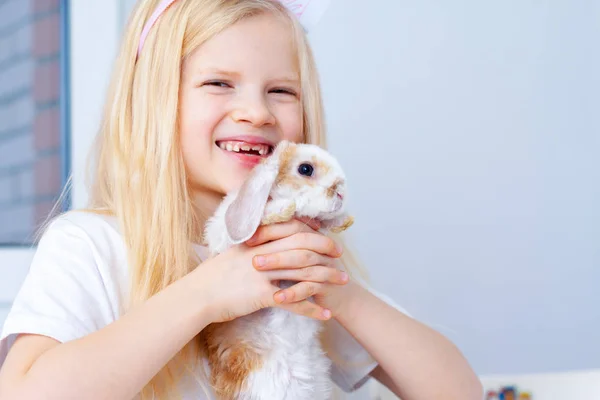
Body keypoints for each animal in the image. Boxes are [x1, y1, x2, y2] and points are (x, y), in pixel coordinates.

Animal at [203, 139, 352, 398]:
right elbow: (267, 213)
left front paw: (342, 220)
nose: (341, 192)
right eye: (305, 169)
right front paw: (285, 207)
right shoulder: (223, 239)